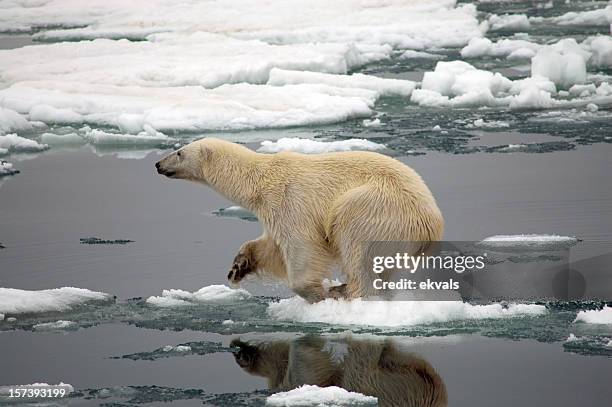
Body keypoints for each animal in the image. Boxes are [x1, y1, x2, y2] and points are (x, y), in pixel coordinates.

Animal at [155, 139, 442, 302]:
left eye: (179, 152)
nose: (158, 164)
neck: (260, 180)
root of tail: (432, 223)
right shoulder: (271, 211)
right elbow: (270, 247)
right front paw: (238, 267)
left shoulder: (290, 201)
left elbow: (302, 246)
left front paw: (317, 293)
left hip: (378, 207)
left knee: (355, 241)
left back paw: (346, 290)